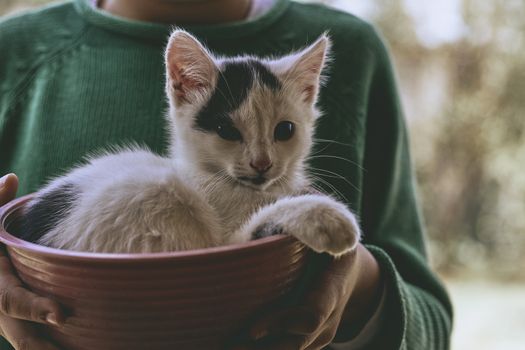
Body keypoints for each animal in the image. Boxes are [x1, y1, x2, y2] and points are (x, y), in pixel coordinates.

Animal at [21, 30, 364, 258]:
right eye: (226, 130)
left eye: (285, 130)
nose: (262, 163)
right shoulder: (224, 232)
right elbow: (245, 233)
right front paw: (327, 216)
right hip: (149, 194)